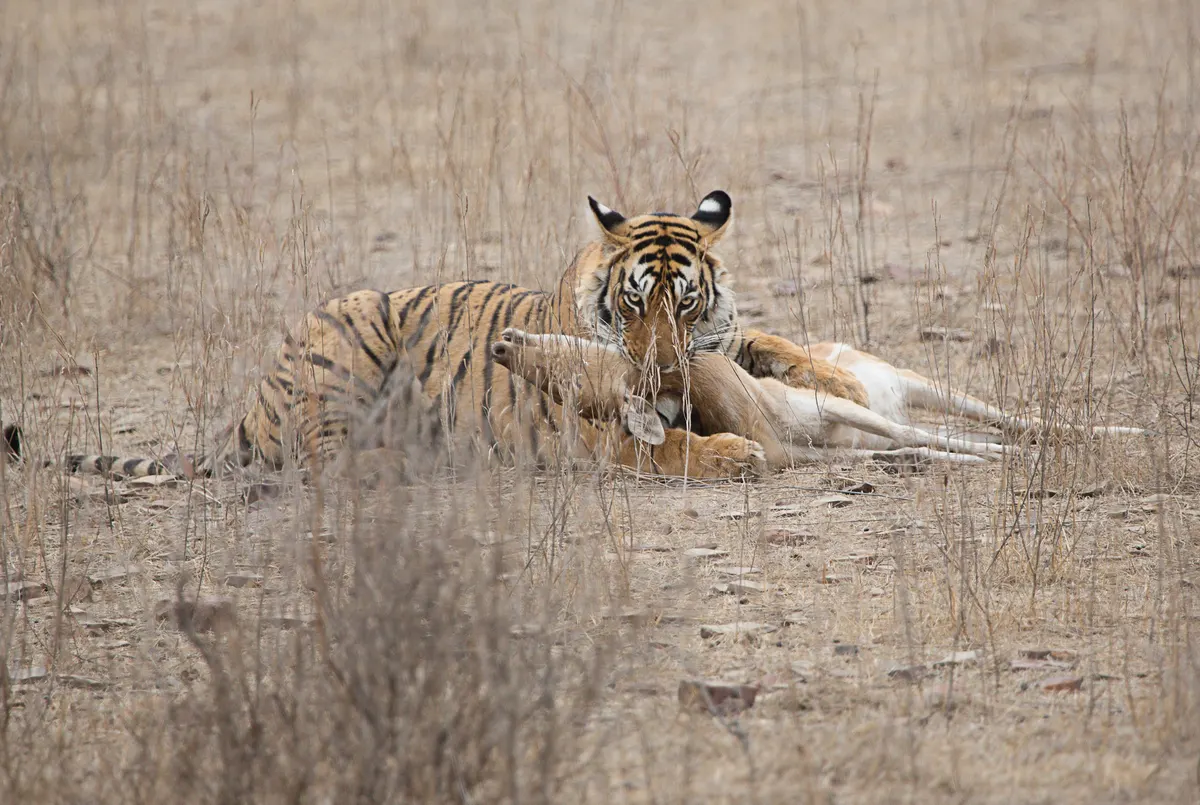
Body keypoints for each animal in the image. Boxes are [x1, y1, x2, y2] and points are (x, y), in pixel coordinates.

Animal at [8, 191, 868, 481]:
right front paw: (732, 453)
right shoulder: (573, 426)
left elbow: (764, 344)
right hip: (352, 326)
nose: (657, 366)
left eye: (685, 305)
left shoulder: (712, 352)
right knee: (325, 461)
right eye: (630, 305)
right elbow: (661, 445)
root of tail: (246, 413)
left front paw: (841, 380)